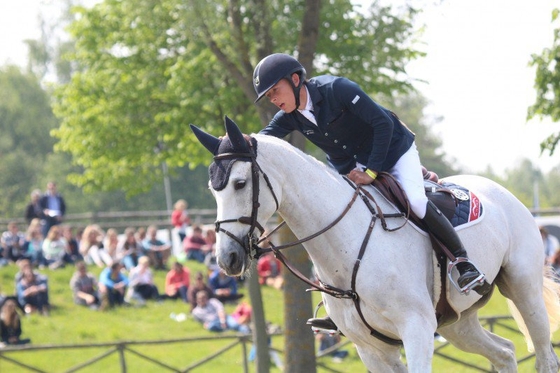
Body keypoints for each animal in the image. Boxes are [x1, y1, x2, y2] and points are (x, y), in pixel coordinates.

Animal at [191, 117, 560, 372]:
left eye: (240, 184)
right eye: (212, 190)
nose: (227, 259)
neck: (347, 248)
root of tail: (502, 191)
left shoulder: (417, 329)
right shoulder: (371, 348)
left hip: (522, 289)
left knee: (543, 353)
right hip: (458, 322)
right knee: (505, 352)